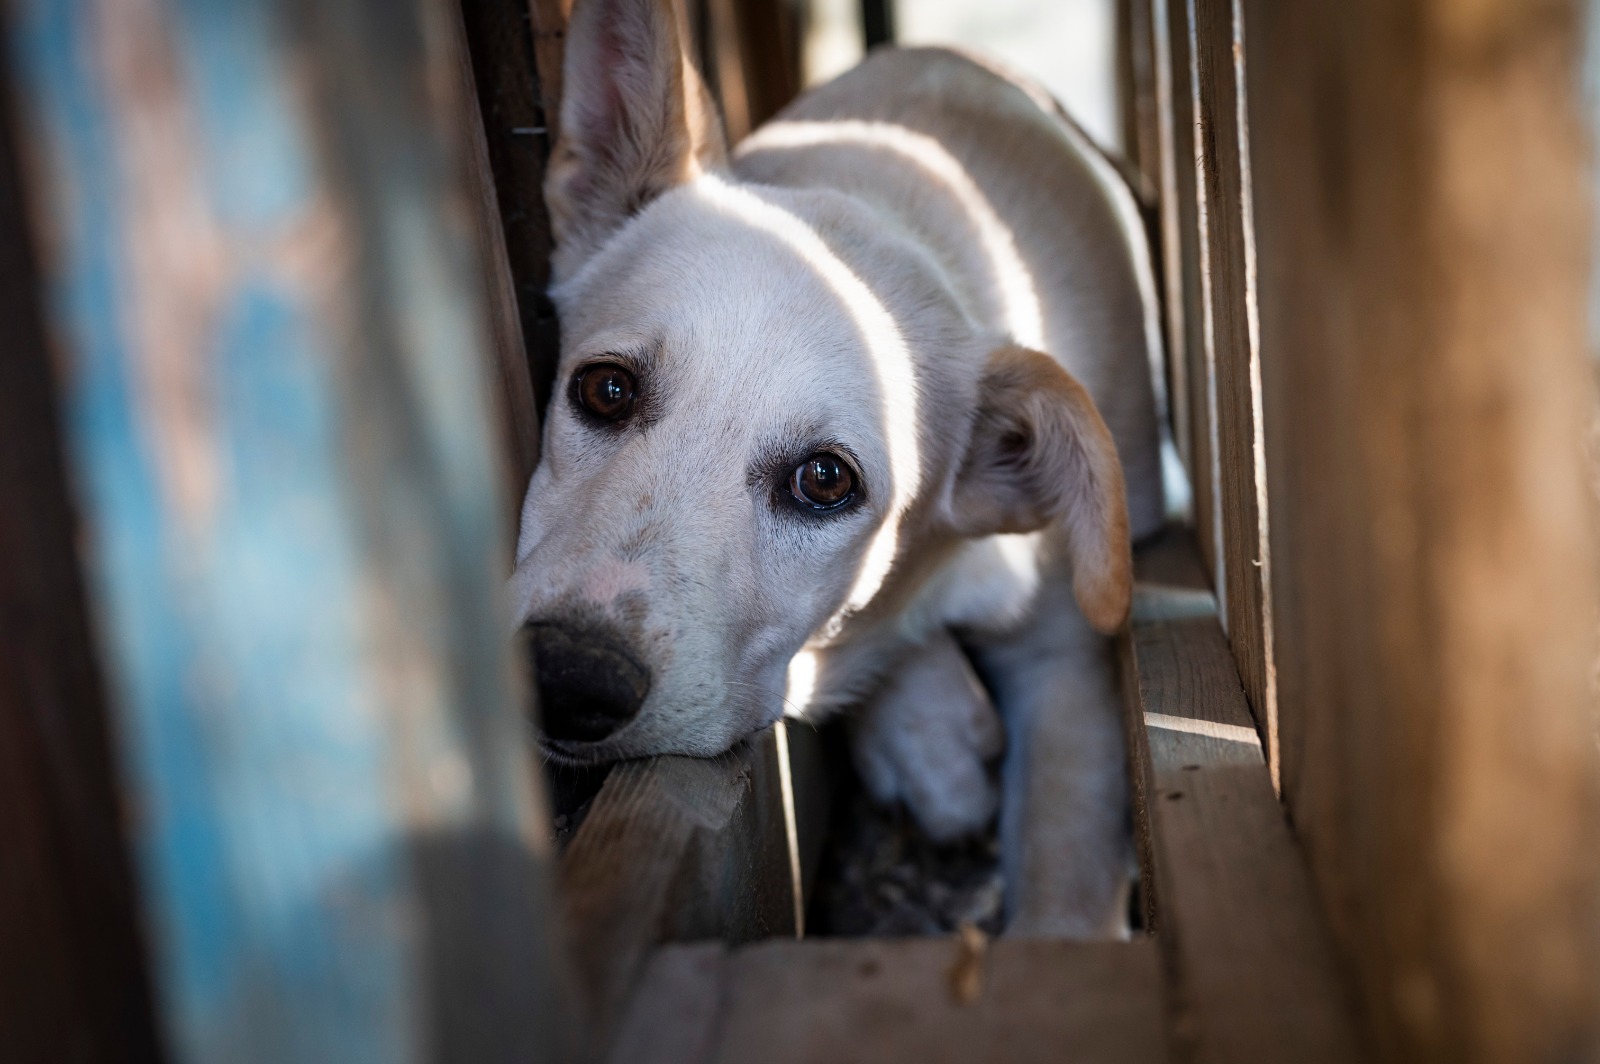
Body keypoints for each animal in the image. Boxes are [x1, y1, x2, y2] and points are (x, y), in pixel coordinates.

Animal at [508, 0, 1164, 934]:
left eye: (824, 481)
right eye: (605, 389)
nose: (567, 678)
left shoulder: (1068, 653)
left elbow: (1065, 854)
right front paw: (931, 738)